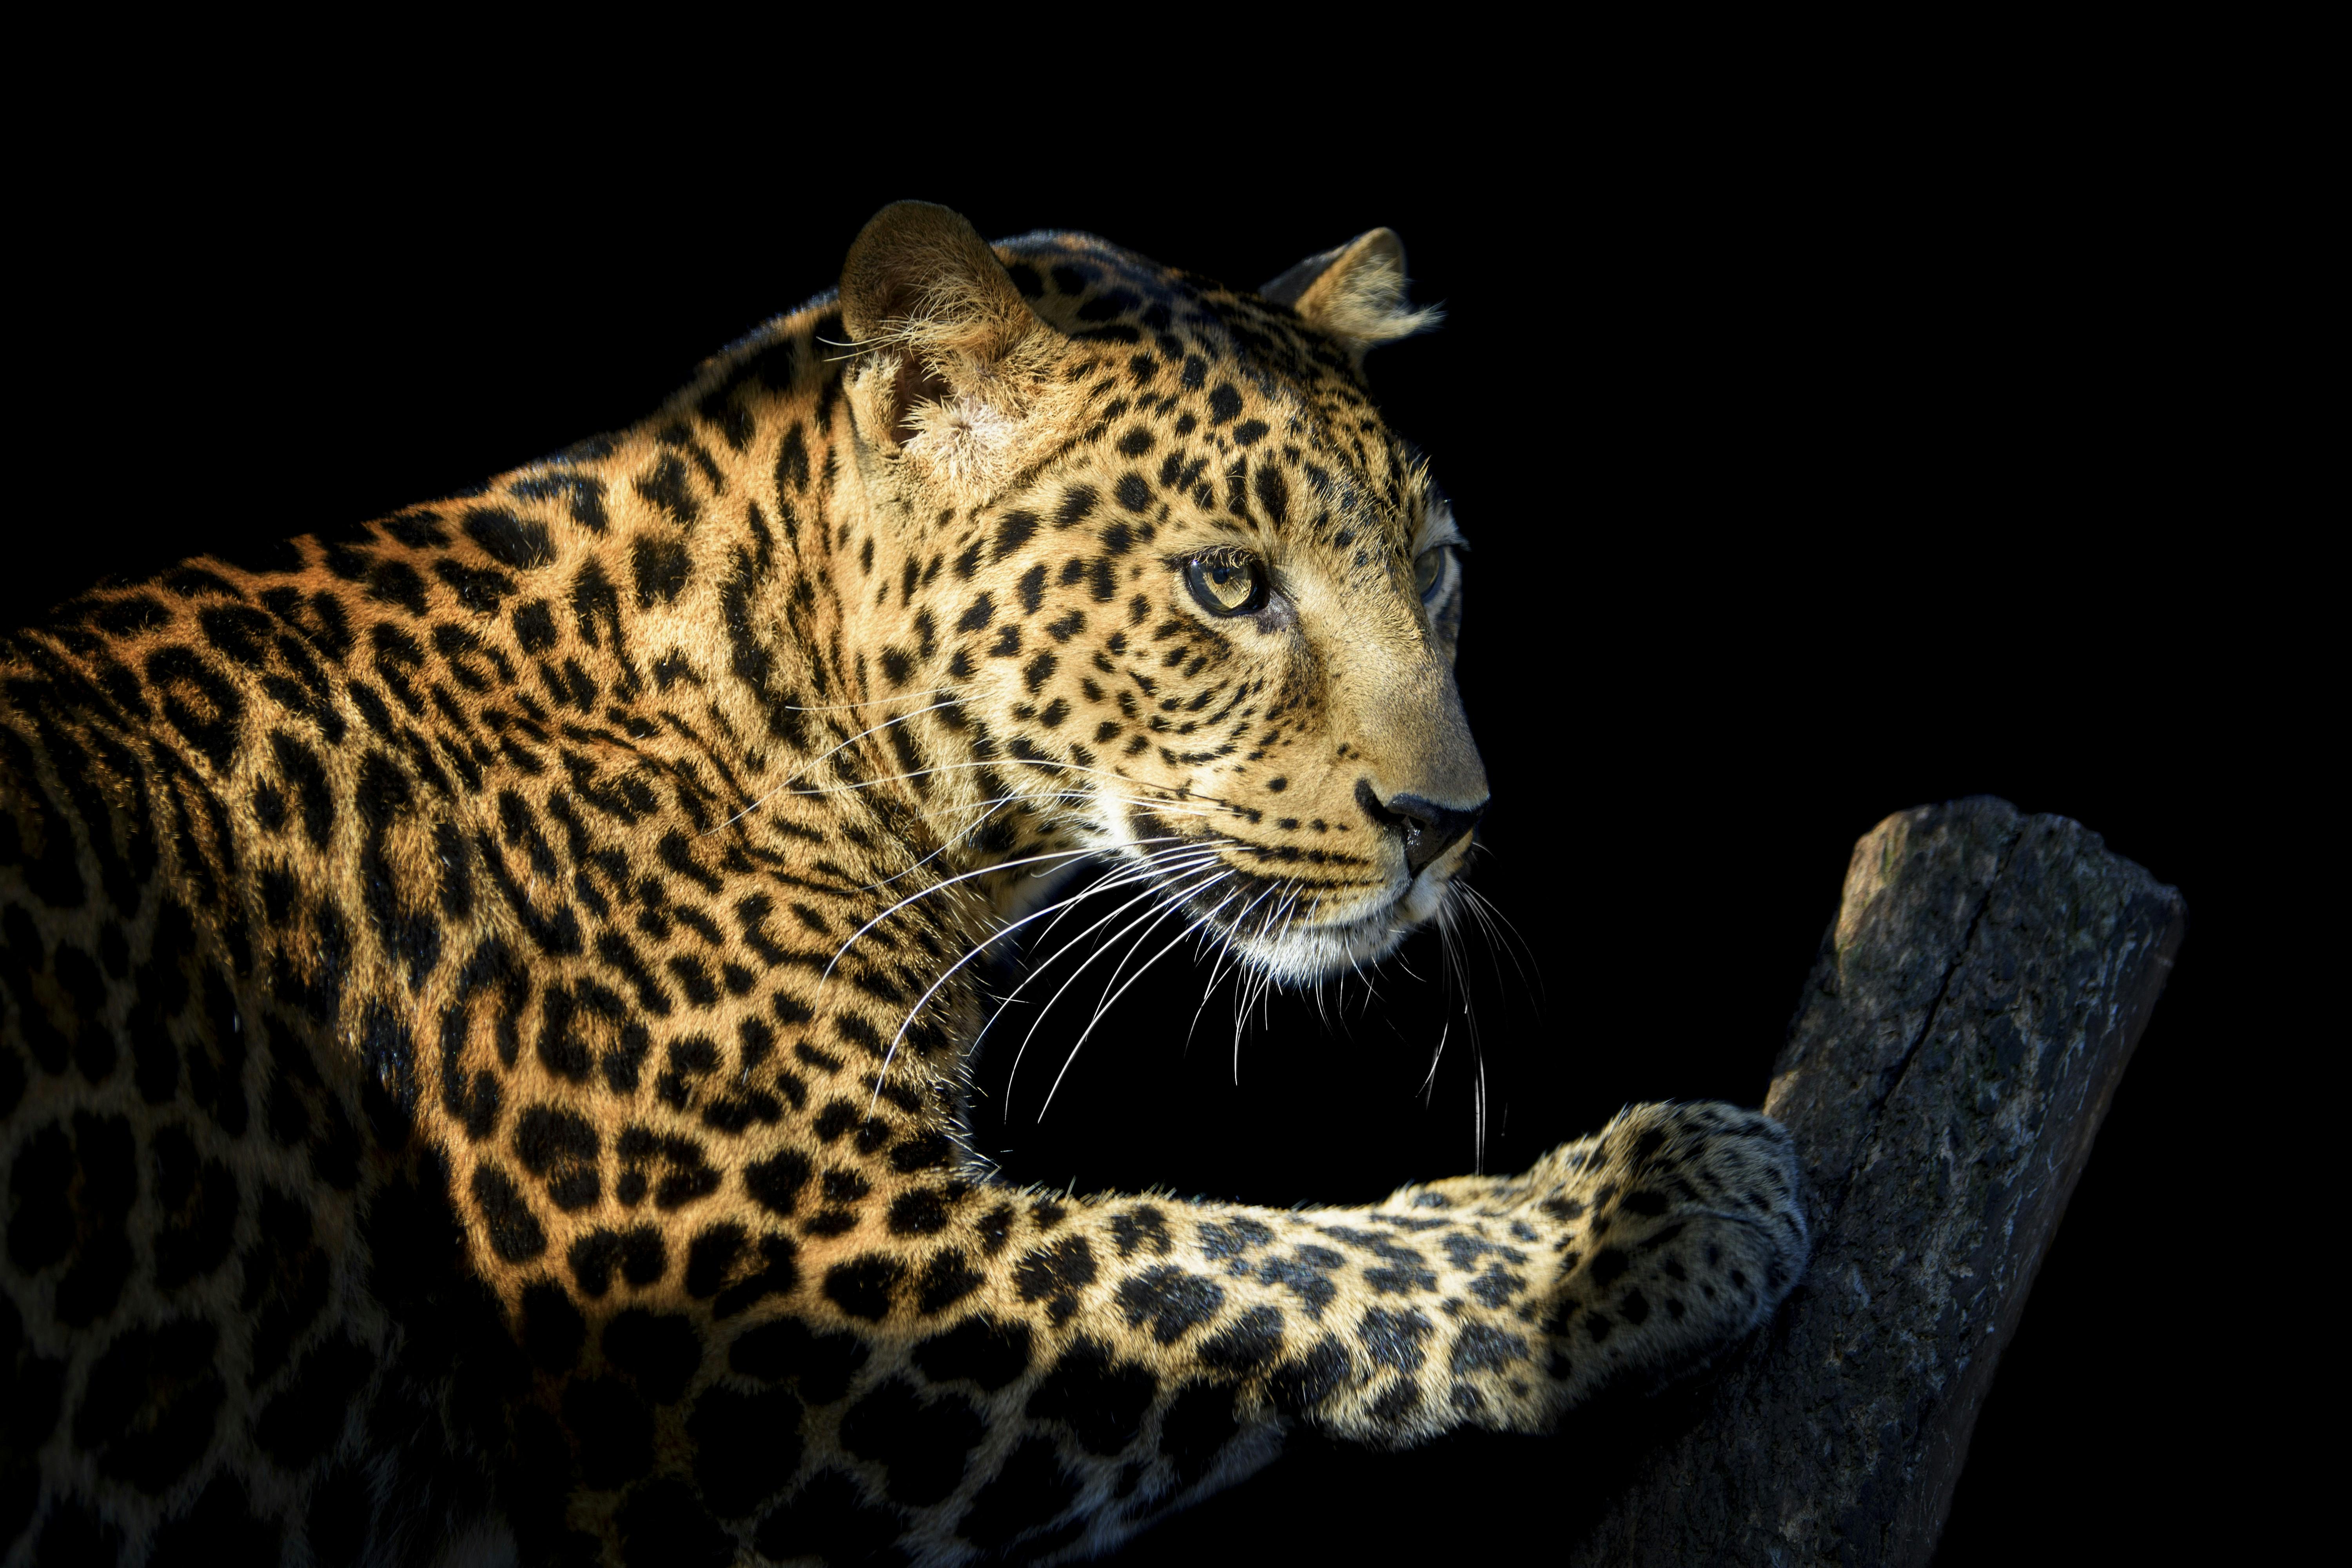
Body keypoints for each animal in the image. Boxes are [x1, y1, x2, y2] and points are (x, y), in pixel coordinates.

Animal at [0, 201, 1809, 1567]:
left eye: (1433, 570)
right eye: (1229, 584)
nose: (1448, 819)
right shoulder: (752, 1297)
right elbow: (1228, 1268)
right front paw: (1648, 1203)